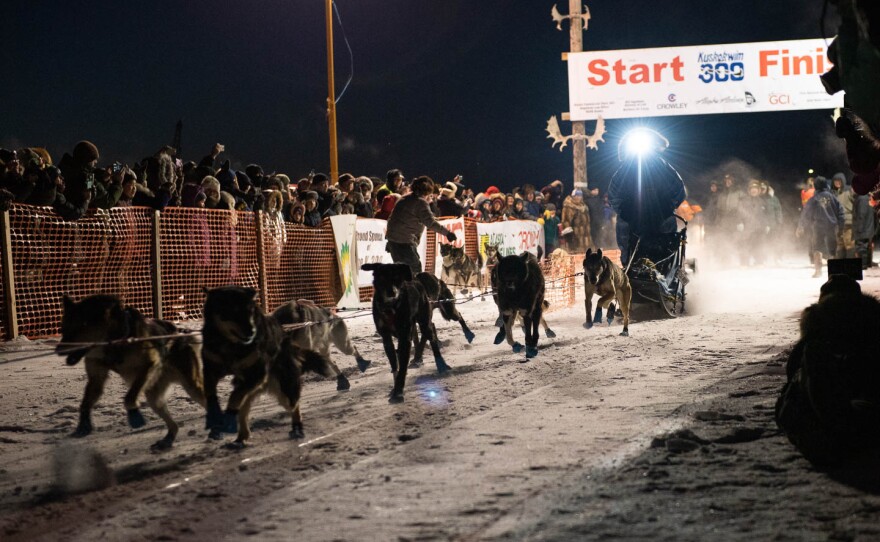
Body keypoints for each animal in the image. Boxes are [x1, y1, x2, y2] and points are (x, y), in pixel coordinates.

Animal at [202, 286, 336, 448]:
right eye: (231, 311)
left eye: (250, 311)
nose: (251, 332)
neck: (230, 344)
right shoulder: (211, 372)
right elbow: (214, 396)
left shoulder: (256, 373)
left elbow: (234, 398)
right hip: (253, 389)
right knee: (243, 410)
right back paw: (241, 437)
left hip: (284, 388)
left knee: (293, 405)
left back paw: (297, 428)